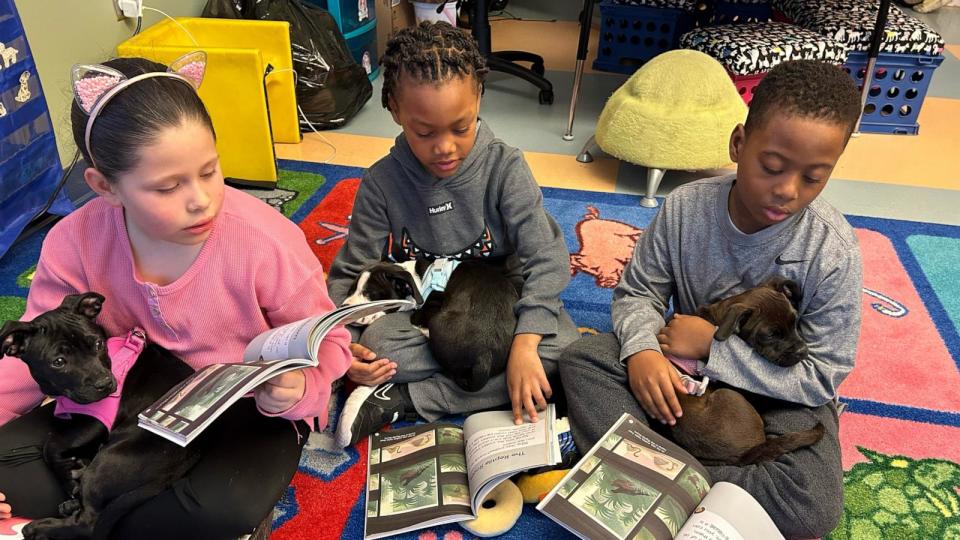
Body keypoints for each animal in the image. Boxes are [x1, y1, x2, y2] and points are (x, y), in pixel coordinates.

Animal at [1, 294, 201, 540]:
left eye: (98, 344)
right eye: (58, 362)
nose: (105, 384)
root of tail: (188, 455)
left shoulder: (96, 421)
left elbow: (51, 444)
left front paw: (68, 476)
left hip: (107, 462)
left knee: (88, 523)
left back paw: (36, 527)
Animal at [344, 258, 520, 390]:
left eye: (371, 295)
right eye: (351, 289)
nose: (343, 307)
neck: (418, 279)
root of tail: (484, 356)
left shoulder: (424, 310)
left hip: (438, 321)